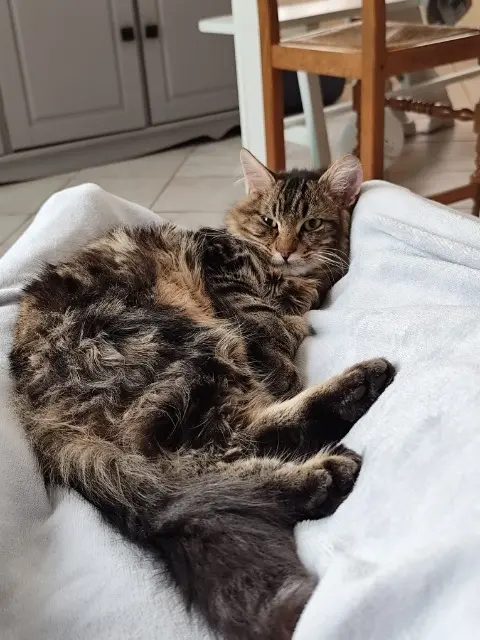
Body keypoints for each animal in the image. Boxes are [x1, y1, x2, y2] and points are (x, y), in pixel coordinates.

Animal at [9, 150, 394, 640]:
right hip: (190, 348)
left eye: (310, 225)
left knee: (192, 475)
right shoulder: (232, 285)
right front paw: (286, 369)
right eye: (268, 222)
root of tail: (35, 412)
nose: (286, 250)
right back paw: (337, 439)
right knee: (212, 457)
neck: (283, 279)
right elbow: (270, 338)